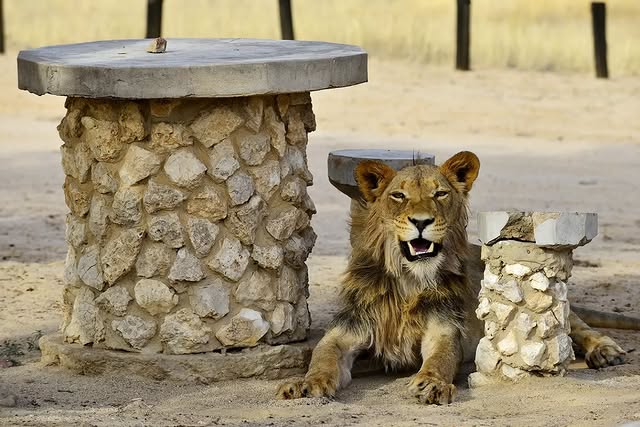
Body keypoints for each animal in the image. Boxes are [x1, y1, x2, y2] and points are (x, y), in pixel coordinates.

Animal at [276, 151, 634, 405]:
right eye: (399, 196)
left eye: (440, 194)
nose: (422, 221)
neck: (408, 282)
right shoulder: (346, 329)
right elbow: (322, 358)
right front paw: (307, 384)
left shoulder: (445, 328)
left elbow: (440, 358)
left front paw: (432, 385)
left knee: (579, 327)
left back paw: (605, 351)